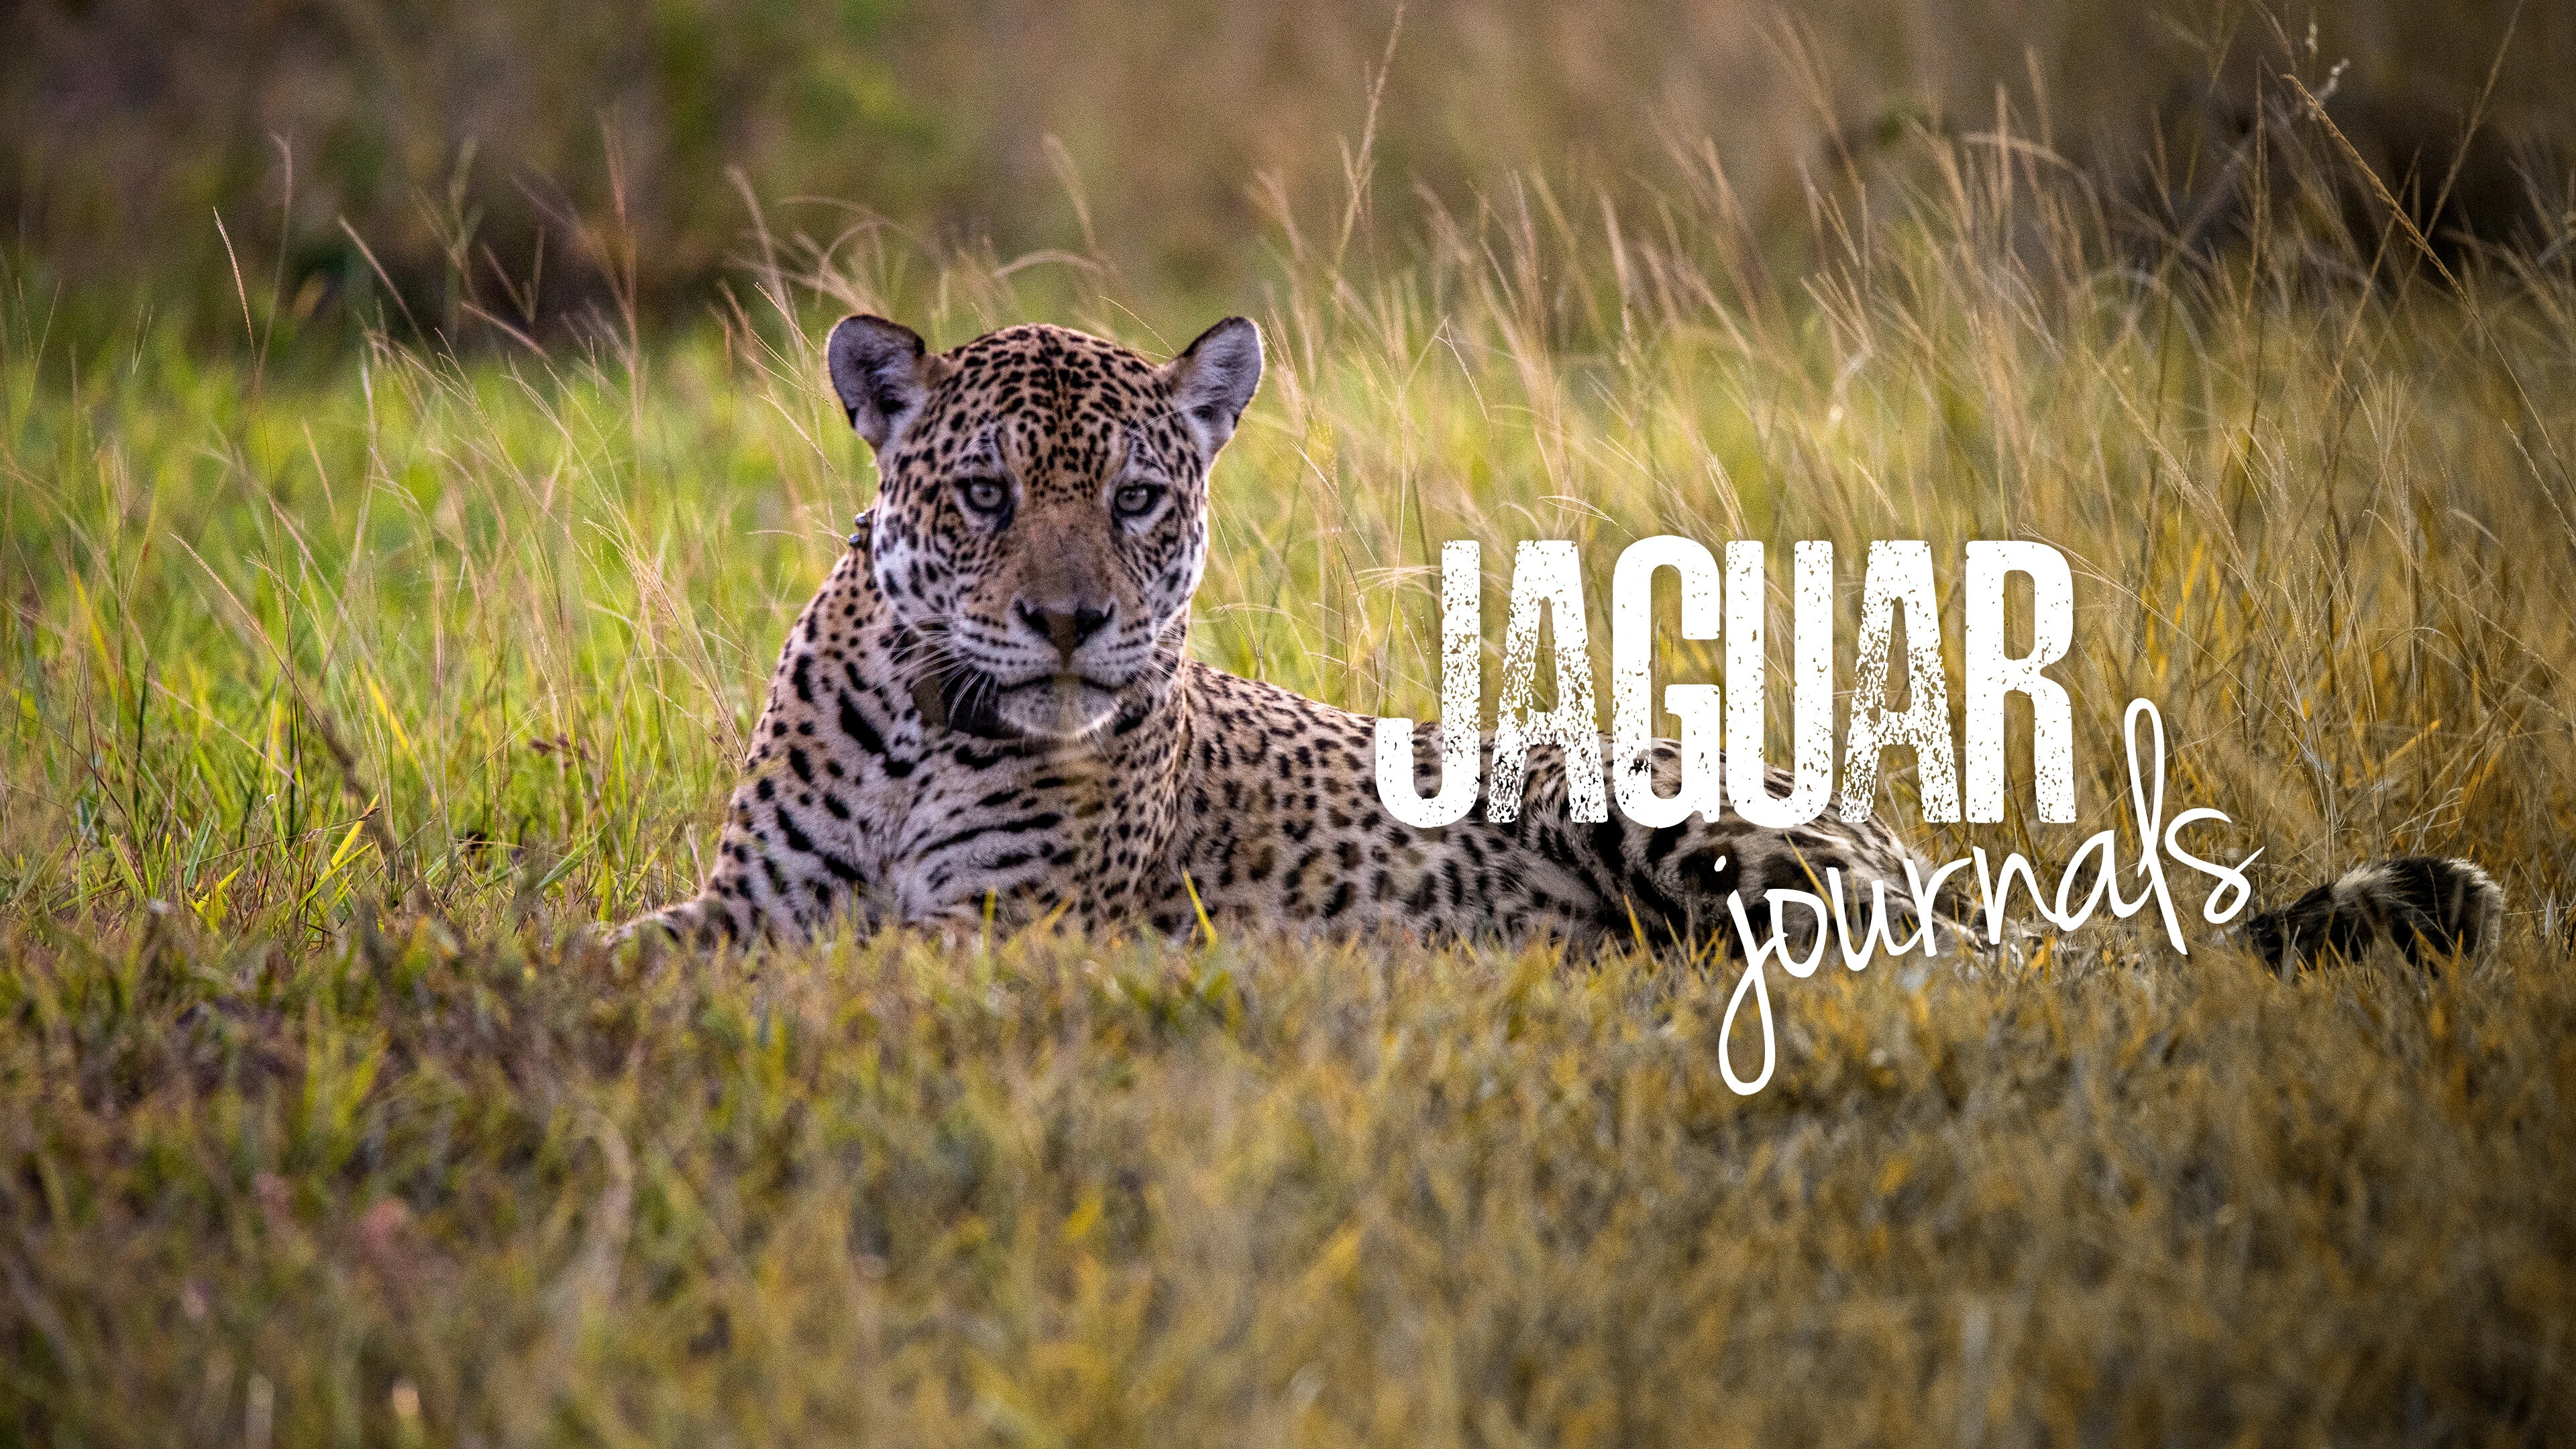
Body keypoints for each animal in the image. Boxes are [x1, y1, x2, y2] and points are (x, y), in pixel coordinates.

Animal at [621, 314, 2503, 971]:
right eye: (988, 493)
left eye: (1143, 498)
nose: (1072, 620)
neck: (925, 723)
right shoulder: (749, 895)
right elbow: (626, 945)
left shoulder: (1013, 931)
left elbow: (842, 964)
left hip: (1657, 807)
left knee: (1973, 963)